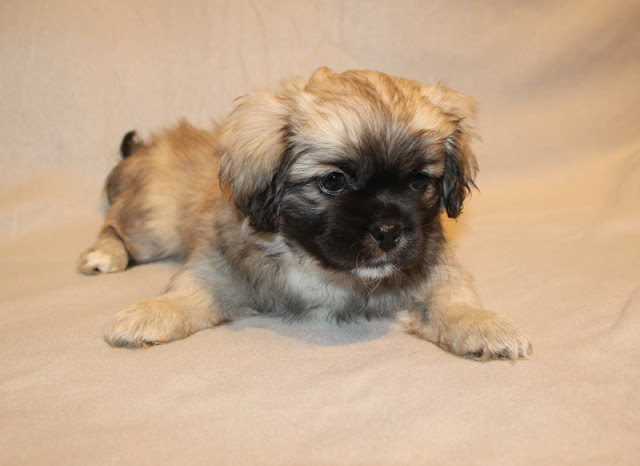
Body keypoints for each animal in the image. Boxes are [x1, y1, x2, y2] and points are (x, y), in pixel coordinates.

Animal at [78, 67, 531, 361]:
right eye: (333, 181)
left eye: (419, 181)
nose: (389, 231)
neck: (319, 267)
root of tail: (146, 146)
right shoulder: (217, 268)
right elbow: (185, 294)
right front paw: (148, 315)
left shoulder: (434, 269)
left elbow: (456, 299)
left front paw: (486, 325)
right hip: (153, 227)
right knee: (113, 226)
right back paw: (103, 256)